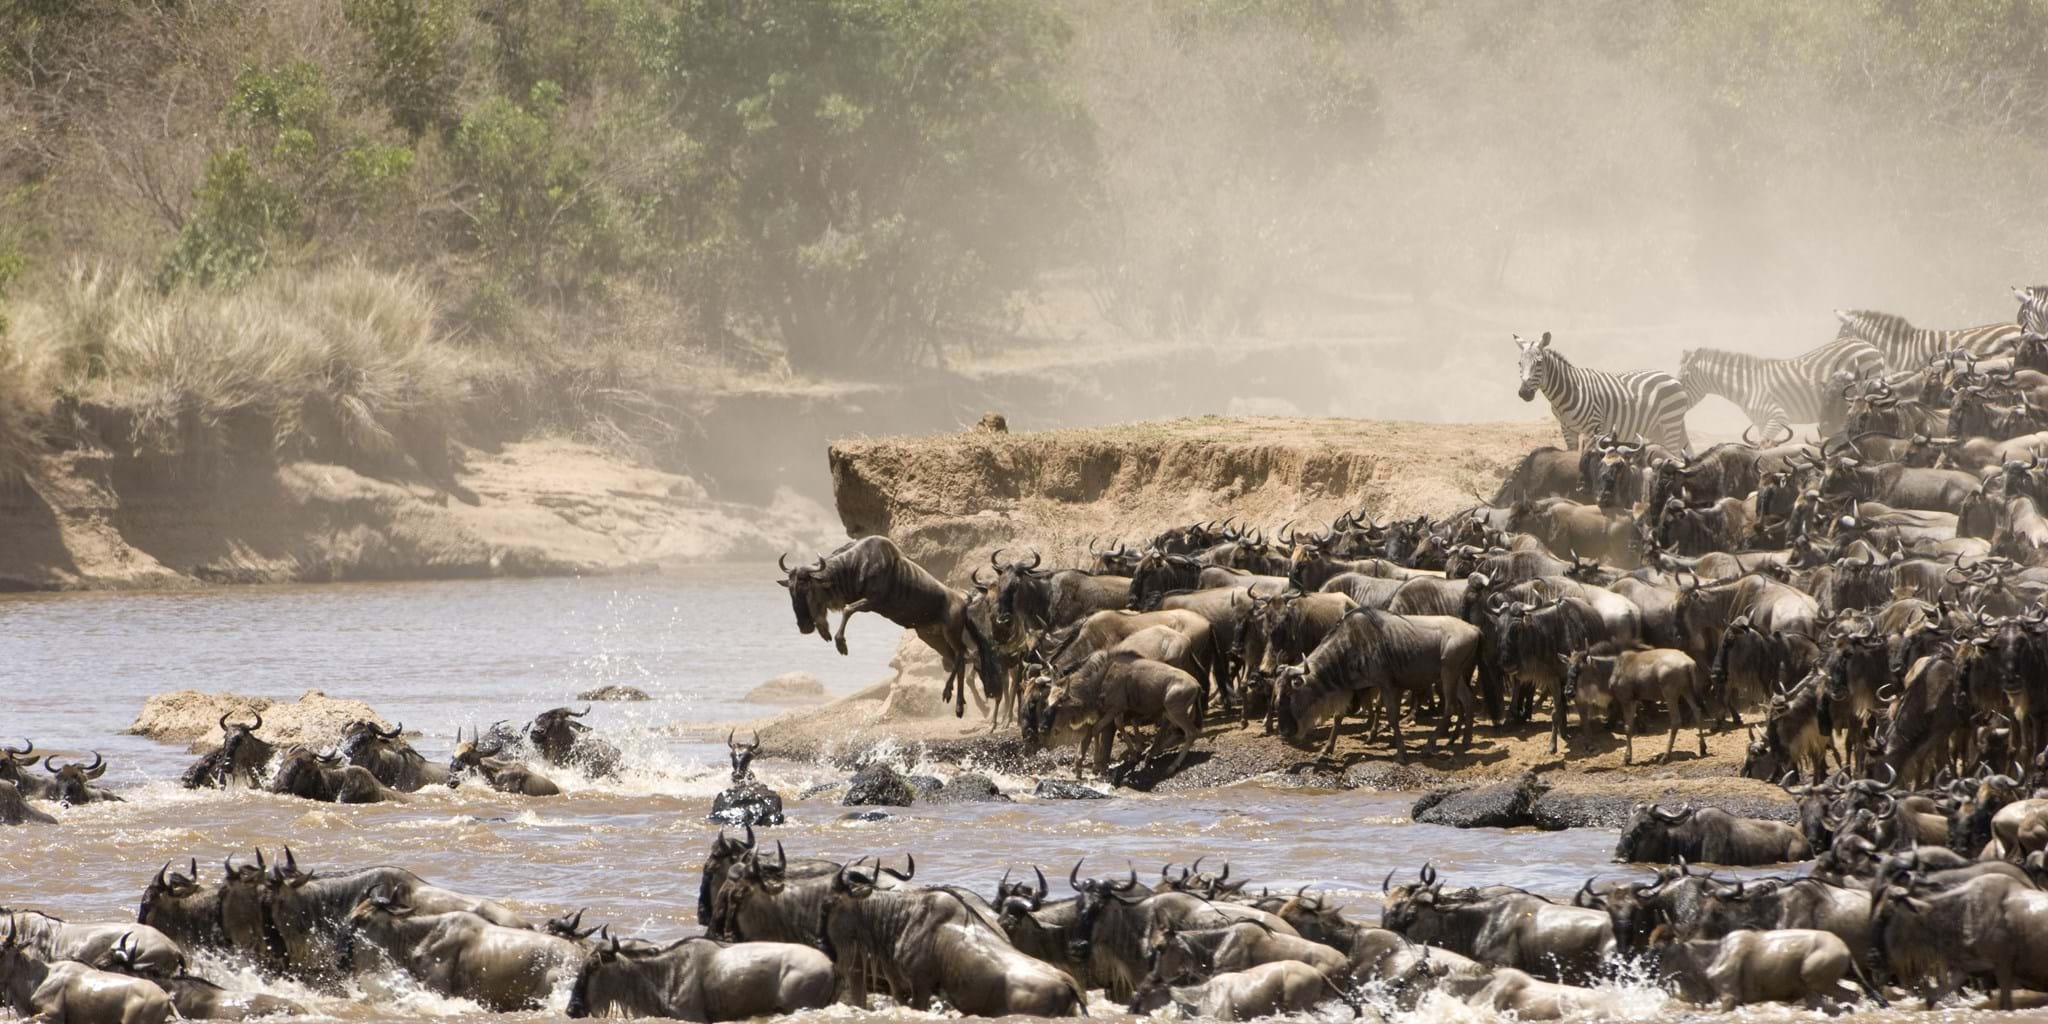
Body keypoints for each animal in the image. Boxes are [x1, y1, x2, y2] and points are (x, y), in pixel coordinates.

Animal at [1515, 331, 1687, 452]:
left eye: (1539, 363)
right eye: (1519, 363)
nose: (1524, 393)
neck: (1569, 391)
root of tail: (1671, 377)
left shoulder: (1594, 429)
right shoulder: (1567, 430)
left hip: (1670, 423)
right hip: (1657, 429)